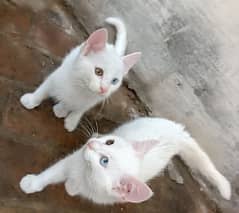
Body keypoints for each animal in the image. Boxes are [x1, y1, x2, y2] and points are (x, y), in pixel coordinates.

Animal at [19, 117, 231, 204]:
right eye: (110, 142)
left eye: (104, 161)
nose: (91, 144)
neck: (86, 174)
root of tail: (179, 133)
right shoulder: (73, 159)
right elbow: (52, 172)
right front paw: (32, 183)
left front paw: (72, 187)